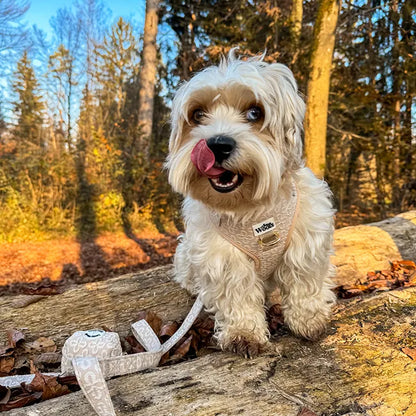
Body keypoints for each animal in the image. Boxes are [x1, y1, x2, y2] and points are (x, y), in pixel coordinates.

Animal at [164, 51, 336, 358]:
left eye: (255, 112)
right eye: (197, 114)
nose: (217, 145)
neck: (252, 211)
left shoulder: (308, 240)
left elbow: (304, 282)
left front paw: (309, 319)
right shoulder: (221, 257)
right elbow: (237, 295)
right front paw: (243, 333)